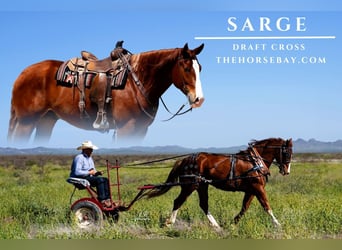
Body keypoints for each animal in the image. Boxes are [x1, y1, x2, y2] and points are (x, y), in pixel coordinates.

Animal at [8, 43, 204, 145]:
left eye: (199, 67)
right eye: (186, 68)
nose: (199, 99)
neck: (136, 81)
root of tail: (22, 74)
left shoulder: (141, 130)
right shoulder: (126, 128)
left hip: (46, 121)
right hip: (26, 122)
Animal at [146, 138, 292, 229]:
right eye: (286, 152)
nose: (286, 171)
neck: (254, 161)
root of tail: (184, 160)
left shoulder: (251, 190)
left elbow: (244, 207)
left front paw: (232, 224)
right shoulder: (257, 187)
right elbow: (266, 206)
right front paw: (278, 225)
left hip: (202, 185)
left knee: (203, 204)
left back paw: (215, 225)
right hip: (190, 186)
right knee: (178, 201)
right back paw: (169, 222)